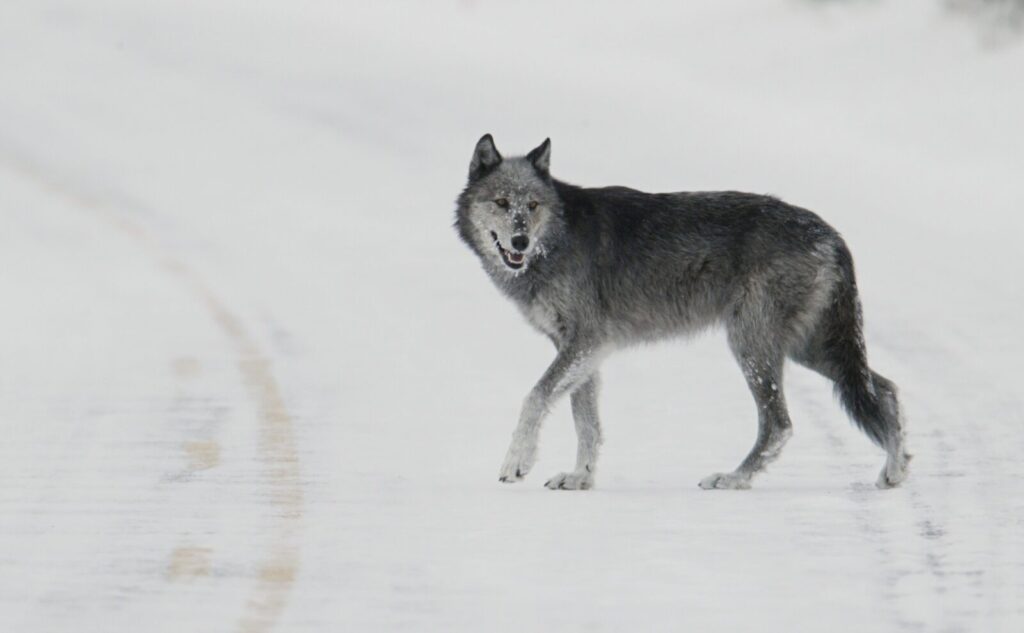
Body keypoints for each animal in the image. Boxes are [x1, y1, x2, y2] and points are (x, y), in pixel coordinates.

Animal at [454, 134, 910, 490]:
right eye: (502, 202)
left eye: (532, 205)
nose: (520, 241)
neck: (557, 238)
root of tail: (830, 233)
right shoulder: (581, 349)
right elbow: (586, 421)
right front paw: (580, 478)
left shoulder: (586, 341)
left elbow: (535, 397)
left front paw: (517, 463)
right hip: (809, 350)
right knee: (885, 388)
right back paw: (895, 471)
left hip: (754, 346)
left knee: (780, 424)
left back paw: (733, 479)